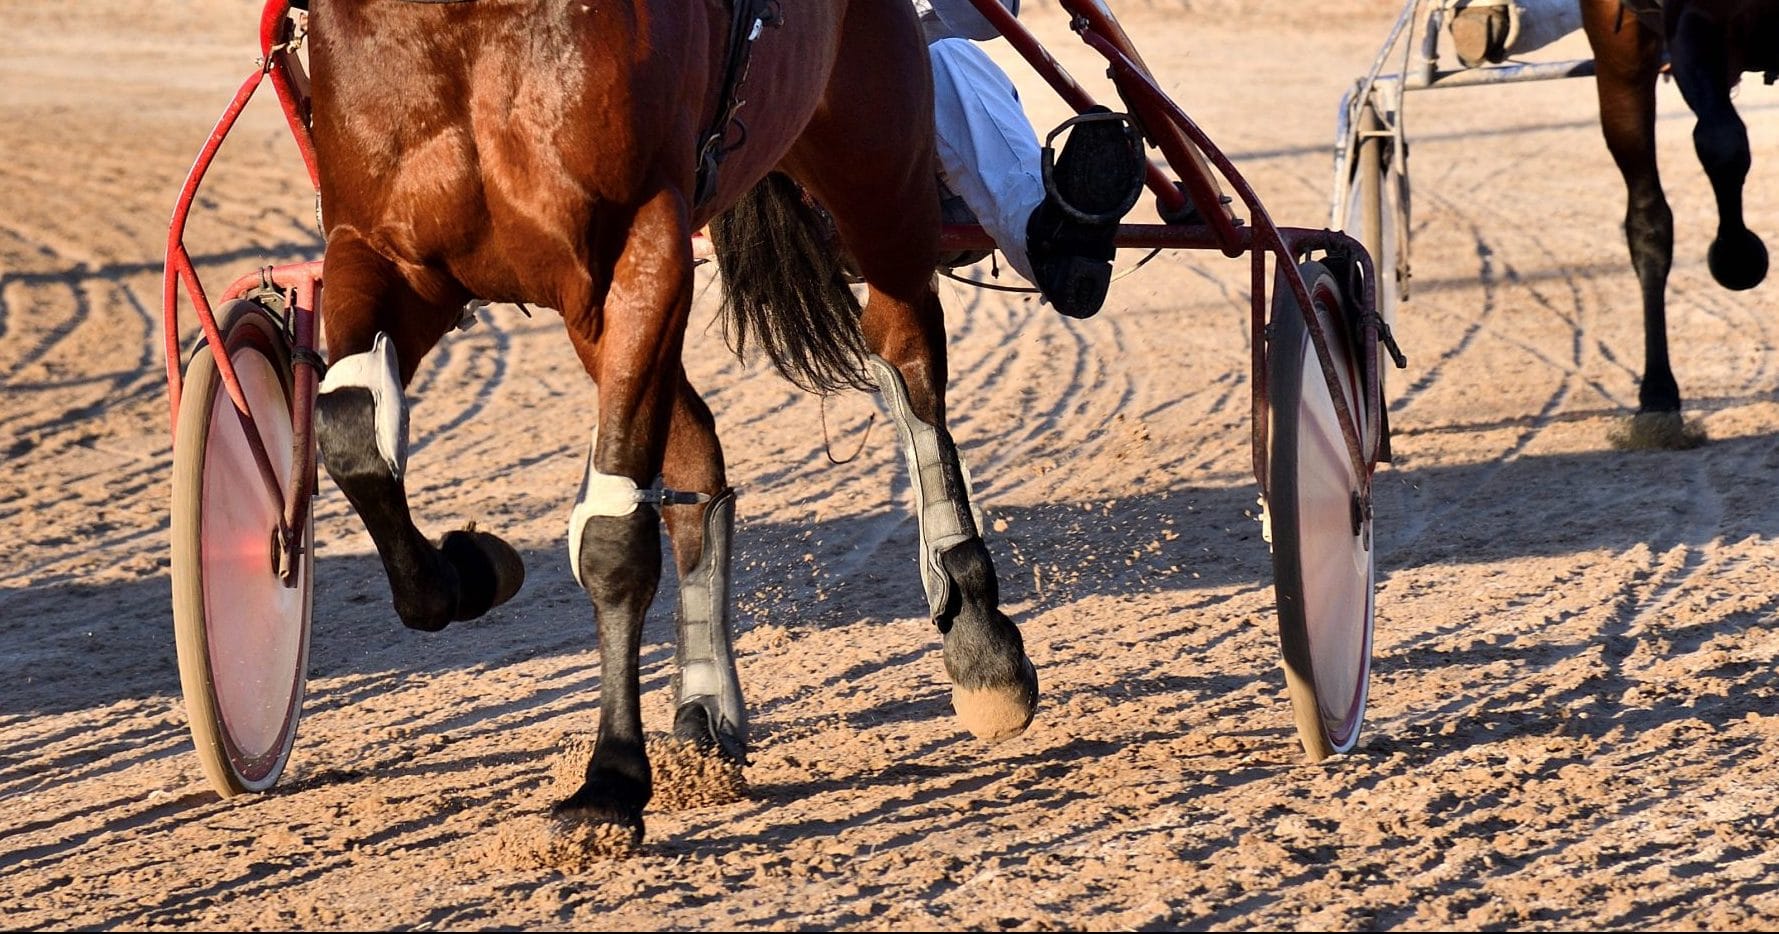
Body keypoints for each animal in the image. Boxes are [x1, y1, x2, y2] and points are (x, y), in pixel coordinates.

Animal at [303, 0, 1039, 847]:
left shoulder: (639, 254)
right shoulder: (383, 253)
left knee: (905, 355)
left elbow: (612, 538)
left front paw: (610, 779)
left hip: (874, 168)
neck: (460, 28)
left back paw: (977, 630)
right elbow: (350, 435)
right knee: (697, 462)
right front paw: (470, 567)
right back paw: (705, 704)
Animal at [1582, 0, 1777, 446]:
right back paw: (1657, 397)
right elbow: (1722, 142)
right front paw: (1737, 259)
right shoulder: (1694, 19)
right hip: (1619, 56)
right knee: (1648, 221)